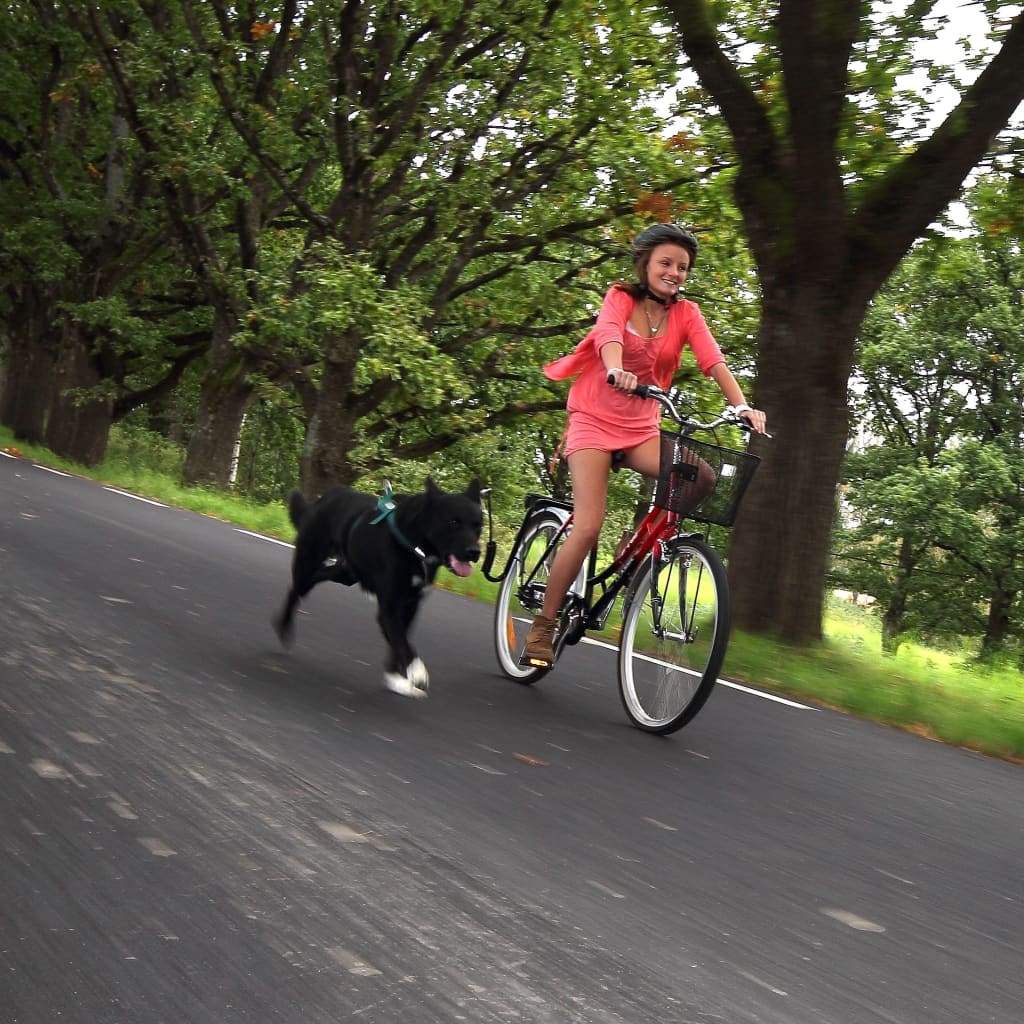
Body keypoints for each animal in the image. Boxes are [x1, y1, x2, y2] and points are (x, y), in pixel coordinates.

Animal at [270, 475, 481, 700]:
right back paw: (283, 627)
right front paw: (417, 671)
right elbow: (403, 642)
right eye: (453, 522)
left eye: (478, 525)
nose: (475, 552)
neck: (415, 544)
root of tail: (327, 496)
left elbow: (398, 642)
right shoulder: (389, 607)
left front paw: (396, 679)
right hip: (308, 559)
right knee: (295, 590)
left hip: (345, 573)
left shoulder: (411, 605)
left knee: (315, 578)